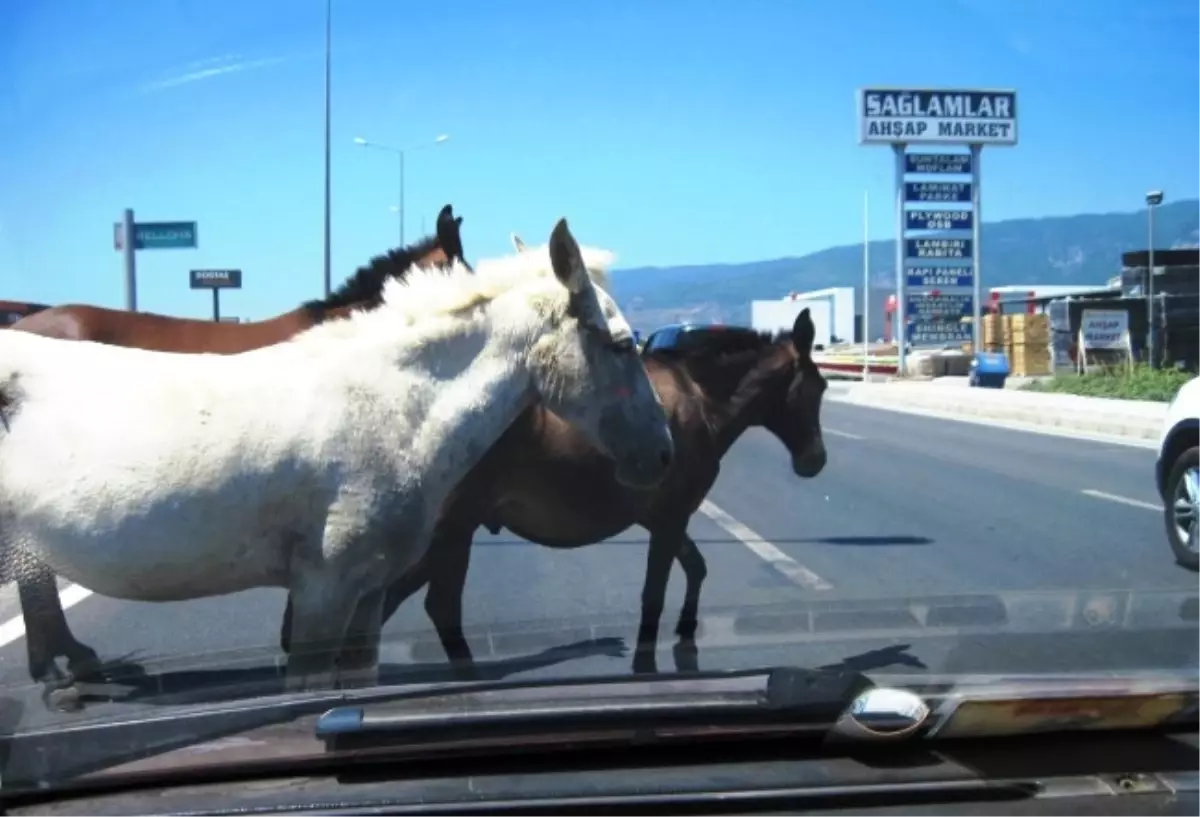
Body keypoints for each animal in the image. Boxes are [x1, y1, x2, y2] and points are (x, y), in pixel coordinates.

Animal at [278, 307, 825, 676]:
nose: (815, 460)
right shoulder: (671, 514)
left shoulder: (661, 516)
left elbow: (696, 567)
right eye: (816, 388)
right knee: (432, 605)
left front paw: (688, 635)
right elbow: (655, 593)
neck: (704, 401)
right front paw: (649, 661)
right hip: (453, 529)